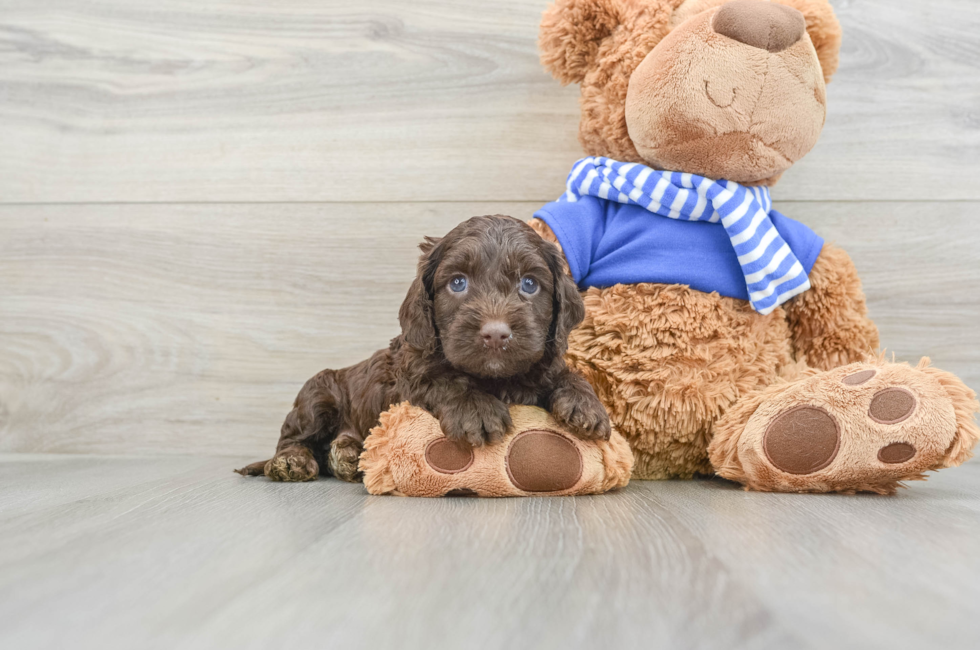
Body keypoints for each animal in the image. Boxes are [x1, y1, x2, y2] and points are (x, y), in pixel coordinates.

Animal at [237, 214, 604, 480]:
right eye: (457, 282)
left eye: (529, 284)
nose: (495, 334)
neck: (496, 379)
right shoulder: (408, 375)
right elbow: (441, 379)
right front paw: (475, 409)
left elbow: (562, 373)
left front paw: (586, 403)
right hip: (318, 393)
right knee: (293, 436)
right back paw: (291, 462)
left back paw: (349, 454)